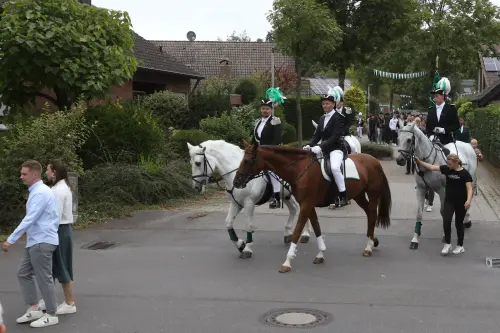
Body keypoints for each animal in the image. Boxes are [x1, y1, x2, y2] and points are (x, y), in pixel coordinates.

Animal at [232, 141, 392, 272]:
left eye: (247, 160)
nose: (236, 182)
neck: (299, 168)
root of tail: (373, 160)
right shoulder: (308, 205)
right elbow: (316, 227)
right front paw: (320, 254)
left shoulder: (306, 204)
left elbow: (297, 231)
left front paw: (287, 262)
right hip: (359, 195)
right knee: (369, 213)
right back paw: (373, 241)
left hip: (372, 194)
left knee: (372, 214)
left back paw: (369, 247)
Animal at [394, 120, 476, 248]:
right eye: (397, 139)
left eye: (408, 140)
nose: (399, 160)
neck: (427, 163)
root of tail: (467, 145)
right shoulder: (421, 189)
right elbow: (419, 214)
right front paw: (415, 239)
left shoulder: (442, 191)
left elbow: (444, 212)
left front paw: (445, 235)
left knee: (468, 199)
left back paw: (466, 221)